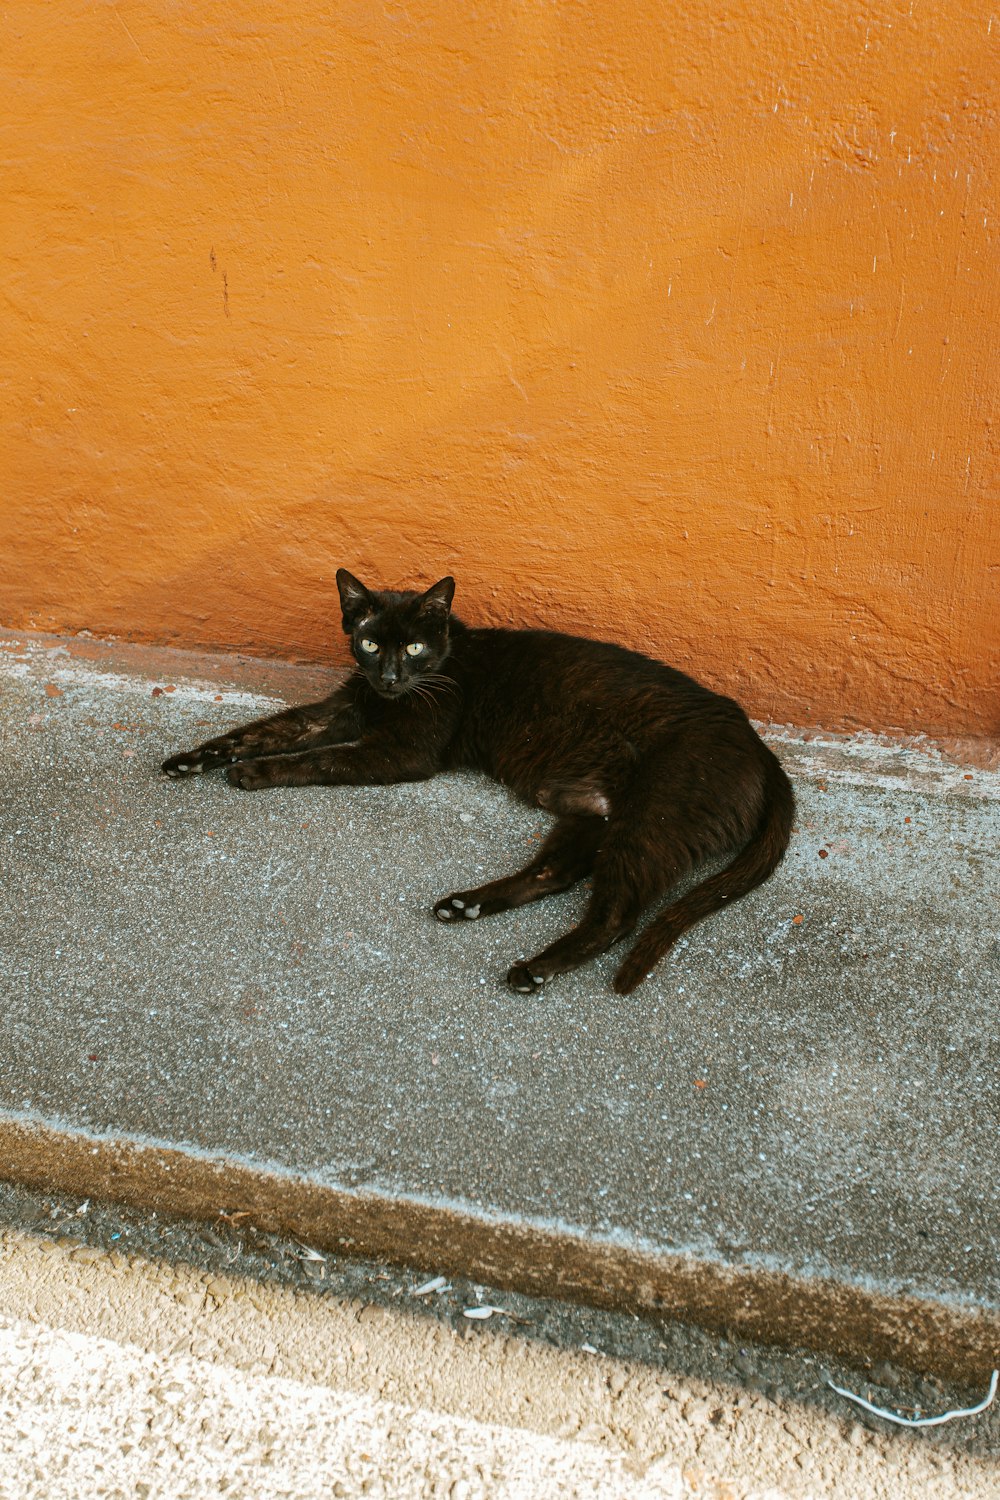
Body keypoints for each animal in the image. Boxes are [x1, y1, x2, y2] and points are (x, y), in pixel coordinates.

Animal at [162, 567, 797, 990]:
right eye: (369, 642)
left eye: (415, 646)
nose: (389, 677)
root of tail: (761, 747)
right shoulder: (340, 711)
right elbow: (264, 729)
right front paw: (191, 760)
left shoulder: (403, 752)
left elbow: (315, 761)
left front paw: (251, 773)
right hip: (591, 806)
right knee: (555, 873)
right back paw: (466, 906)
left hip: (650, 819)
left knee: (618, 915)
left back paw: (534, 969)